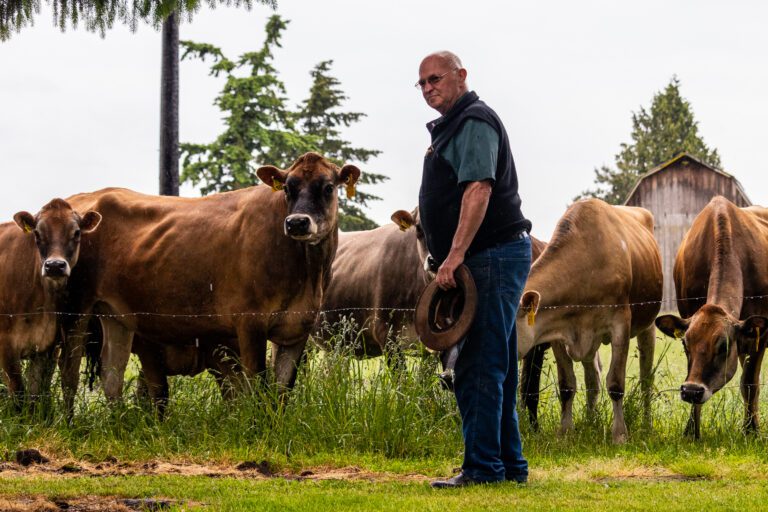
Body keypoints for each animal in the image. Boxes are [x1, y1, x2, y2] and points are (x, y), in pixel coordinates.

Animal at [0, 198, 101, 406]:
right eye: (37, 233)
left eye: (76, 232)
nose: (55, 265)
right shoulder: (5, 347)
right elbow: (18, 394)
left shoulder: (44, 349)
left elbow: (34, 396)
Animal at [61, 152, 358, 400]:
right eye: (287, 188)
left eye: (328, 187)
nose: (297, 222)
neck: (307, 274)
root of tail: (81, 199)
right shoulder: (250, 323)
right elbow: (258, 388)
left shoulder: (297, 329)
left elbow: (282, 391)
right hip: (76, 309)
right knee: (69, 376)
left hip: (115, 315)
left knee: (112, 375)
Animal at [520, 198, 664, 442]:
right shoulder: (559, 331)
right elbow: (567, 384)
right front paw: (565, 431)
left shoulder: (620, 324)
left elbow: (615, 383)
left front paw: (619, 434)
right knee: (592, 379)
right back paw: (589, 422)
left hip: (648, 326)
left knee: (646, 379)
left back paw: (646, 423)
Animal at [656, 198, 768, 438]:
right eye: (685, 344)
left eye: (723, 346)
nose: (691, 391)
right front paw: (691, 430)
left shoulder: (759, 335)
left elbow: (750, 384)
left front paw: (750, 430)